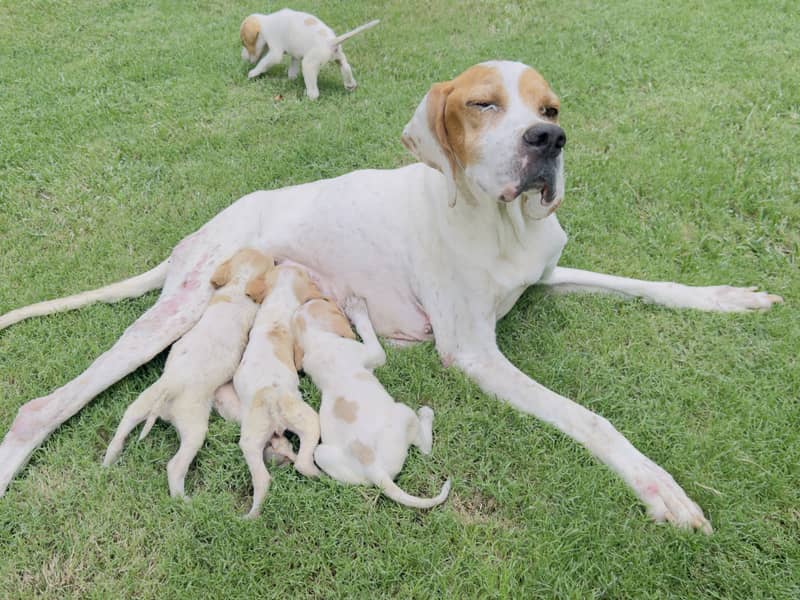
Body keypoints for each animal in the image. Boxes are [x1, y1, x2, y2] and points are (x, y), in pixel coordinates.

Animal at [103, 248, 276, 496]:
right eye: (271, 263)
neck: (238, 283)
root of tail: (169, 392)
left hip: (143, 401)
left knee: (125, 422)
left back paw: (110, 457)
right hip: (194, 427)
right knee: (175, 466)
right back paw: (183, 499)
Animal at [234, 264, 324, 516]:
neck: (279, 301)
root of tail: (271, 398)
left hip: (252, 438)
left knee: (264, 479)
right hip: (308, 417)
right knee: (303, 462)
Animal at [239, 8, 380, 99]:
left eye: (244, 42)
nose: (242, 57)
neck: (265, 22)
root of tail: (330, 41)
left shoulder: (275, 52)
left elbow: (265, 63)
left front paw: (253, 73)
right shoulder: (295, 55)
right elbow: (293, 67)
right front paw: (291, 78)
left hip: (309, 64)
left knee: (314, 92)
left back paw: (308, 96)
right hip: (339, 57)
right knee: (346, 67)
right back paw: (350, 85)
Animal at [290, 298, 450, 508]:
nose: (311, 298)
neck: (316, 340)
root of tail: (372, 466)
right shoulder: (371, 352)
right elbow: (369, 334)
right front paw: (357, 310)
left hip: (322, 453)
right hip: (404, 412)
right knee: (425, 448)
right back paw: (426, 414)